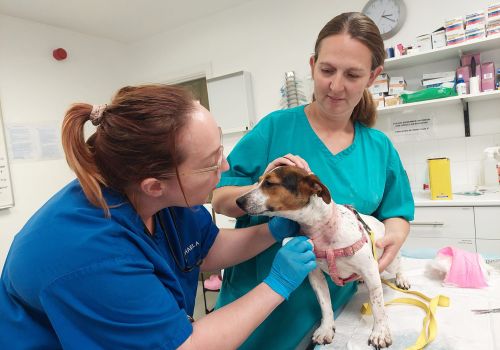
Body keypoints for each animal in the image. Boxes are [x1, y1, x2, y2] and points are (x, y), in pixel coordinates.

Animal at [236, 166, 408, 348]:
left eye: (269, 183)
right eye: (258, 180)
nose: (238, 201)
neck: (324, 231)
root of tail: (379, 222)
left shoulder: (370, 272)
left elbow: (377, 306)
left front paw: (380, 332)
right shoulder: (316, 276)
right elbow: (325, 305)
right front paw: (326, 329)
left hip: (390, 260)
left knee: (400, 264)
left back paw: (402, 279)